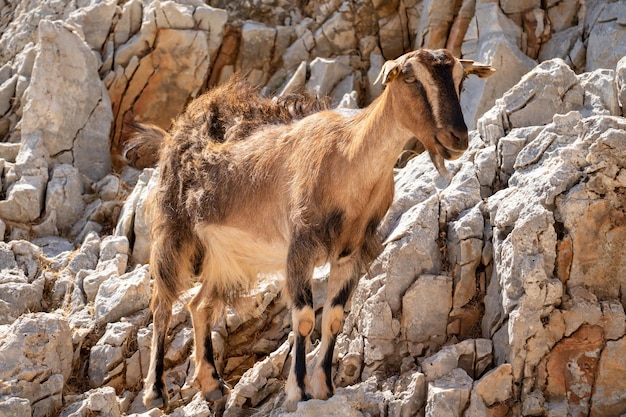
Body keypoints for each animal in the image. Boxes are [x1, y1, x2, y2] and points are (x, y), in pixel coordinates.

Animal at [139, 48, 494, 410]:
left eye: (461, 80)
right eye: (409, 77)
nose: (457, 138)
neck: (348, 156)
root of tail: (176, 130)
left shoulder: (351, 253)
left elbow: (334, 317)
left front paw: (325, 387)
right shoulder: (300, 247)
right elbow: (306, 317)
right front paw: (299, 389)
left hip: (227, 257)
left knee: (200, 306)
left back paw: (211, 384)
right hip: (174, 231)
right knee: (162, 304)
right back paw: (155, 391)